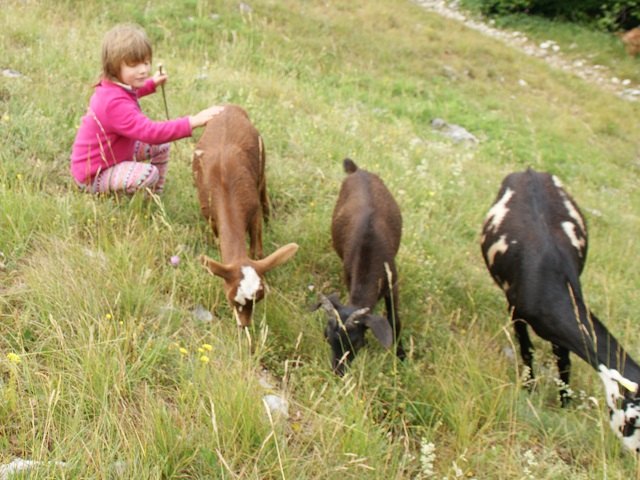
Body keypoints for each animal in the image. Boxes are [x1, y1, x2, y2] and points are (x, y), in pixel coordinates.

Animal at [192, 106, 300, 326]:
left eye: (258, 299)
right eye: (231, 299)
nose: (244, 325)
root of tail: (229, 106)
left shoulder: (253, 210)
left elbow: (257, 252)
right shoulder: (209, 215)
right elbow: (218, 240)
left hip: (261, 162)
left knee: (264, 186)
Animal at [318, 158, 404, 376]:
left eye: (355, 344)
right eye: (328, 338)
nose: (338, 372)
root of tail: (357, 170)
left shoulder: (393, 282)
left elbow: (394, 318)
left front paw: (401, 356)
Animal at [480, 170, 640, 454]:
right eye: (633, 419)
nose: (635, 452)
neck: (548, 275)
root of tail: (530, 170)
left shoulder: (558, 328)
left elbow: (564, 361)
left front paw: (565, 402)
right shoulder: (516, 310)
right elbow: (527, 349)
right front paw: (529, 388)